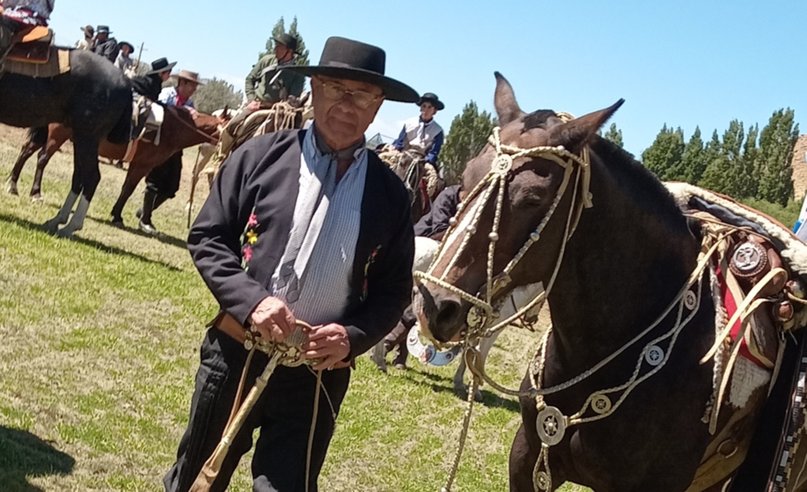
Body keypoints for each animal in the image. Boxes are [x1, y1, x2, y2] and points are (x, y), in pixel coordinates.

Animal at [0, 48, 131, 236]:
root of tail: (126, 82)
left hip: (87, 137)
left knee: (91, 177)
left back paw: (71, 226)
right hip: (80, 138)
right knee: (78, 177)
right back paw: (56, 220)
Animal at [6, 106, 223, 226]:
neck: (171, 127)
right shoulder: (141, 165)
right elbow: (128, 189)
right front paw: (118, 215)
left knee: (26, 151)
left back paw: (13, 185)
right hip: (56, 136)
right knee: (42, 159)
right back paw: (35, 193)